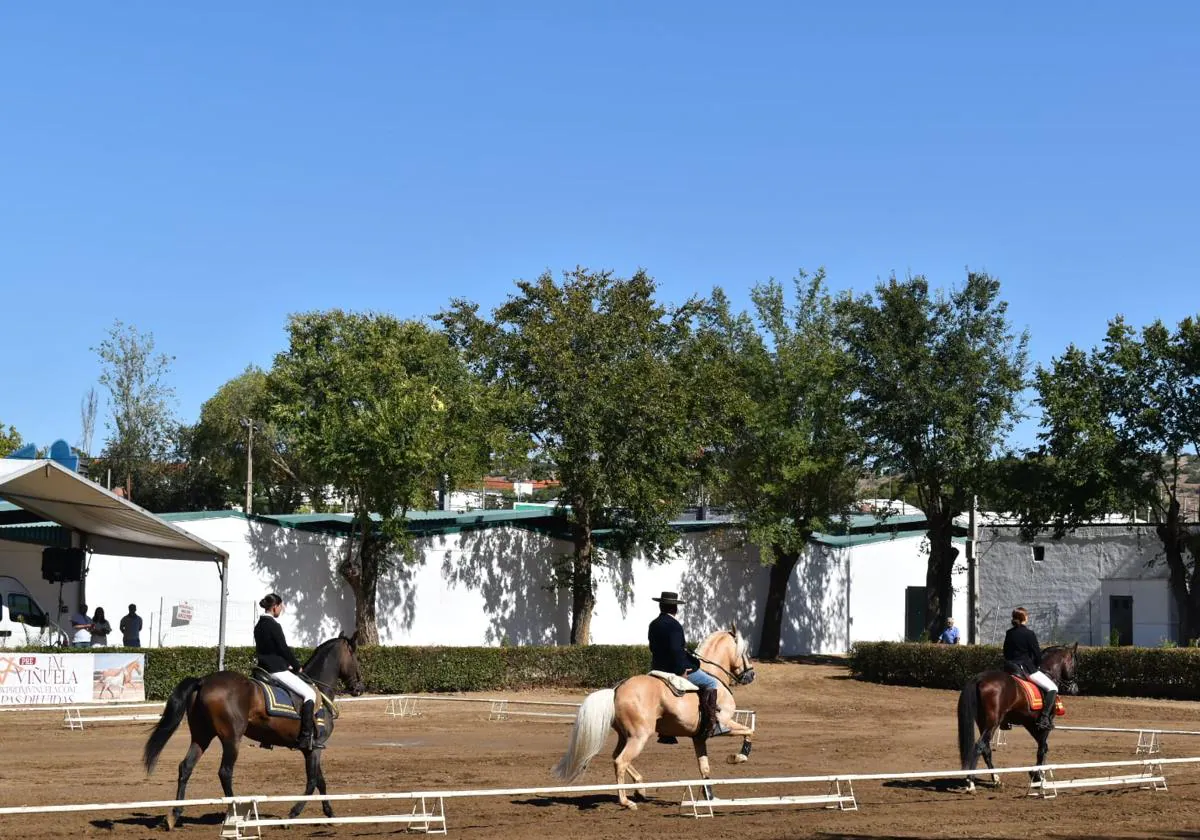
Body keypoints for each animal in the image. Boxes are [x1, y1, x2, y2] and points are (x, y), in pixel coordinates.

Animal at [143, 633, 364, 825]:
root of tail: (204, 681)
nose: (359, 688)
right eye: (355, 658)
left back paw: (175, 814)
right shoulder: (314, 748)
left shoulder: (310, 749)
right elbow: (312, 782)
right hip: (231, 738)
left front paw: (330, 814)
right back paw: (234, 813)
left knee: (186, 767)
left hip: (201, 736)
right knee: (225, 772)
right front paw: (292, 815)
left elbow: (320, 781)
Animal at [549, 624, 753, 806]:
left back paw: (640, 788)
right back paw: (626, 801)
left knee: (617, 757)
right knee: (620, 761)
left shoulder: (699, 738)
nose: (751, 675)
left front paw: (710, 797)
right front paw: (738, 757)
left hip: (626, 735)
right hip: (640, 736)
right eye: (746, 652)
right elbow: (749, 731)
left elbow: (704, 767)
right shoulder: (725, 724)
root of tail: (617, 689)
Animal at [955, 638, 1080, 792]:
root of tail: (980, 678)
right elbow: (1042, 747)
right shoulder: (1044, 724)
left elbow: (1042, 746)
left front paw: (1036, 774)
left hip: (983, 721)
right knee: (980, 745)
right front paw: (1038, 777)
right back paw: (970, 782)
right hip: (992, 722)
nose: (1075, 689)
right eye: (1075, 664)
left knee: (986, 748)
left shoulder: (1030, 723)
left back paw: (996, 780)